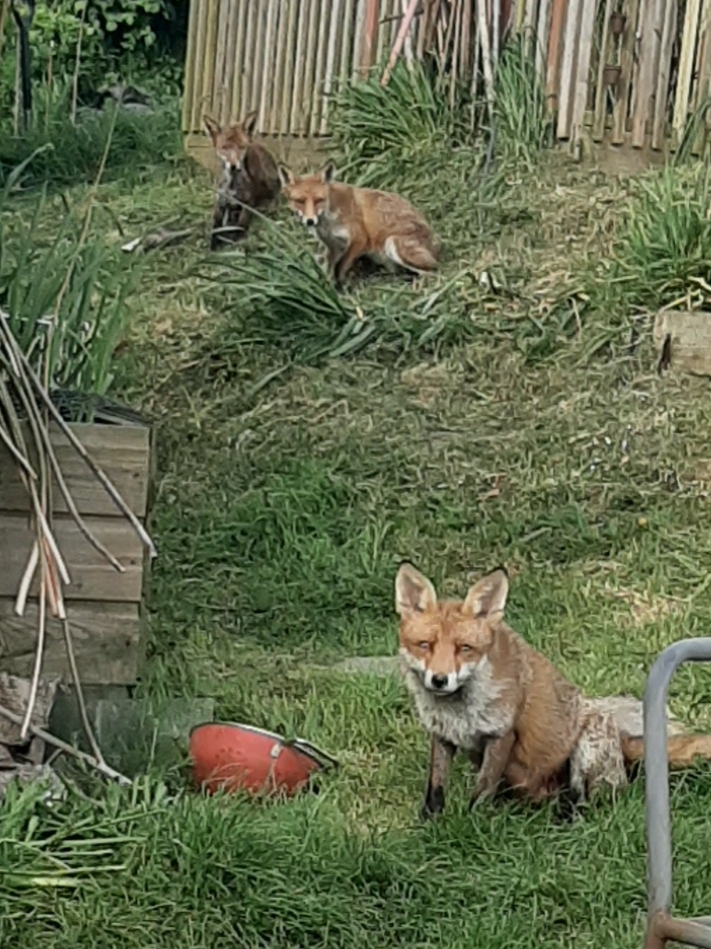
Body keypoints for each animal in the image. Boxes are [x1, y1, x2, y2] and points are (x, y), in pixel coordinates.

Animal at [203, 111, 281, 250]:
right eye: (224, 148)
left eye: (241, 147)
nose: (234, 166)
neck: (231, 186)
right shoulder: (219, 203)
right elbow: (215, 228)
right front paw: (213, 245)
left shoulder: (248, 202)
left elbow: (241, 225)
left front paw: (236, 241)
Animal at [277, 161, 439, 288]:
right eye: (299, 201)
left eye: (319, 200)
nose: (310, 221)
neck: (328, 221)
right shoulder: (333, 245)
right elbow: (330, 269)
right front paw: (329, 289)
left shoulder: (360, 239)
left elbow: (340, 268)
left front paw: (342, 291)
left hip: (393, 243)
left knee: (432, 272)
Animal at [395, 563, 711, 819]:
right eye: (424, 645)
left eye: (464, 648)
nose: (439, 679)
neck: (457, 709)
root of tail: (623, 742)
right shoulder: (442, 735)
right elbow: (435, 788)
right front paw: (430, 823)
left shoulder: (501, 735)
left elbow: (482, 791)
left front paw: (473, 824)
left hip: (585, 750)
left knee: (585, 800)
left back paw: (568, 818)